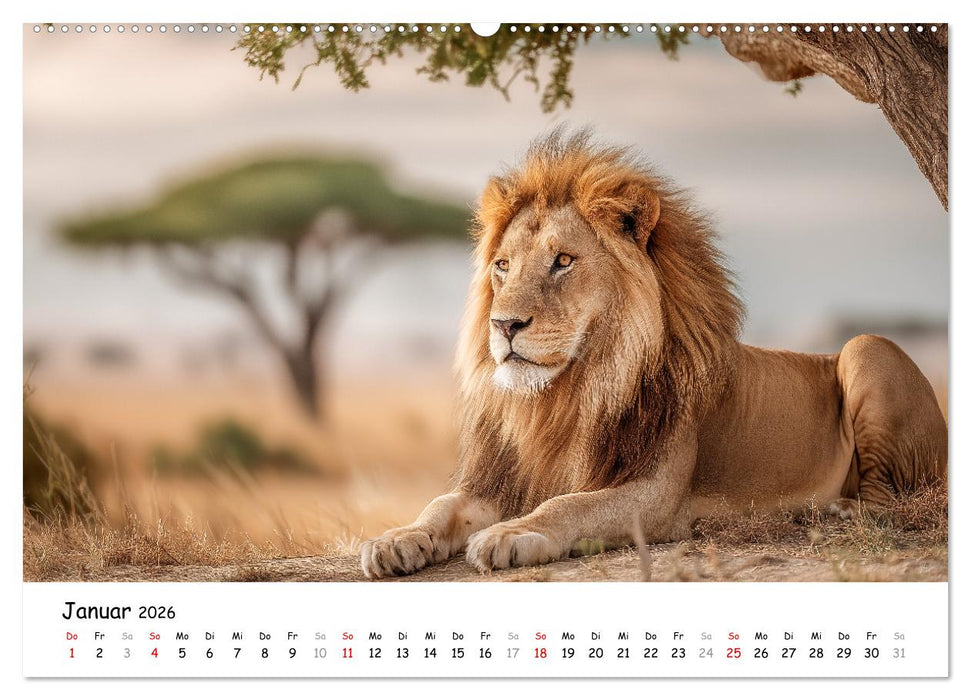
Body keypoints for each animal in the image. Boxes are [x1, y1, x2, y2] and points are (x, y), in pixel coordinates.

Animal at [360, 129, 948, 578]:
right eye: (502, 266)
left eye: (563, 261)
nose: (503, 325)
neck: (564, 396)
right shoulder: (499, 479)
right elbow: (440, 506)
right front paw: (394, 540)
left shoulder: (657, 493)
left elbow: (569, 503)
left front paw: (514, 533)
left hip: (867, 349)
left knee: (894, 501)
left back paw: (836, 511)